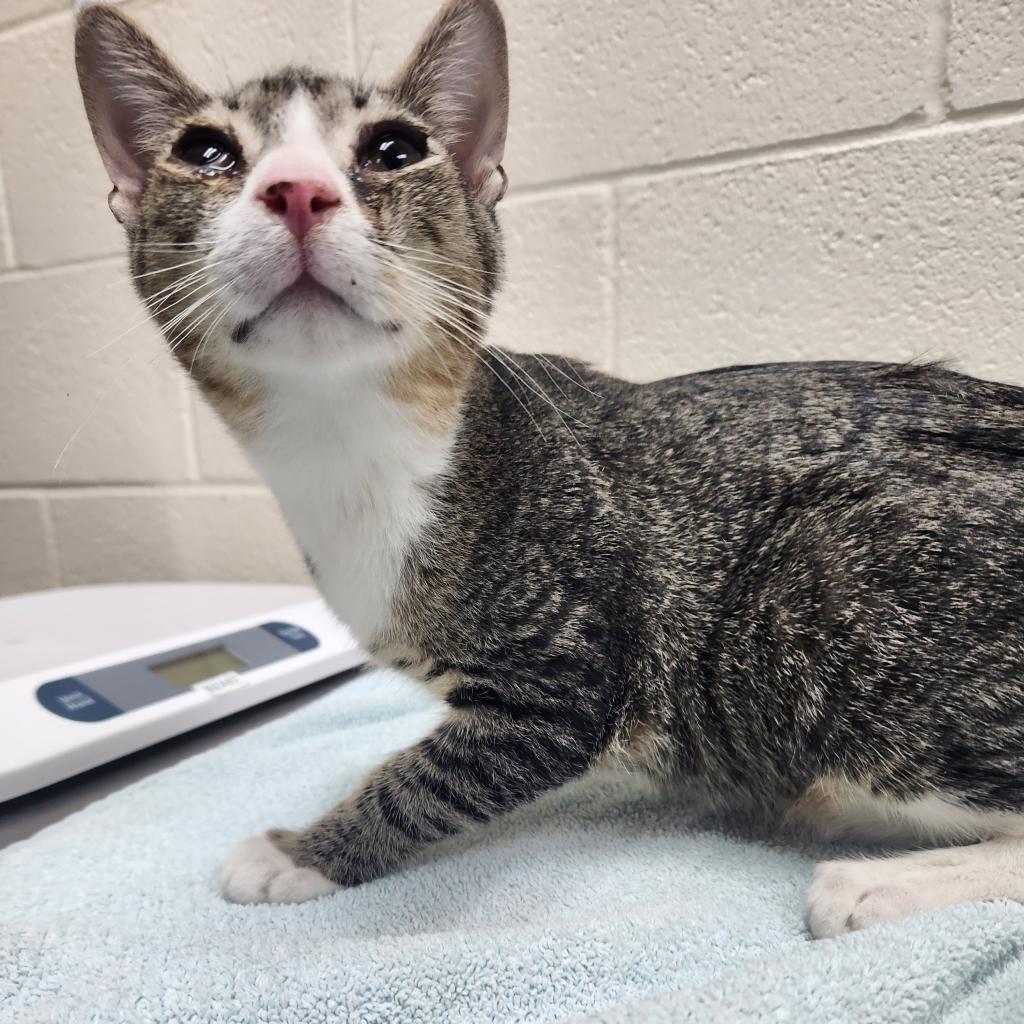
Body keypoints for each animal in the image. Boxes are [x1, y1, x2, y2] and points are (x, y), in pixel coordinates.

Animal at [74, 0, 1024, 937]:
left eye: (394, 149)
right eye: (206, 152)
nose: (297, 190)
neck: (349, 446)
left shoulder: (563, 679)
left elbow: (427, 781)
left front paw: (300, 853)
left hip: (810, 601)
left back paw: (869, 883)